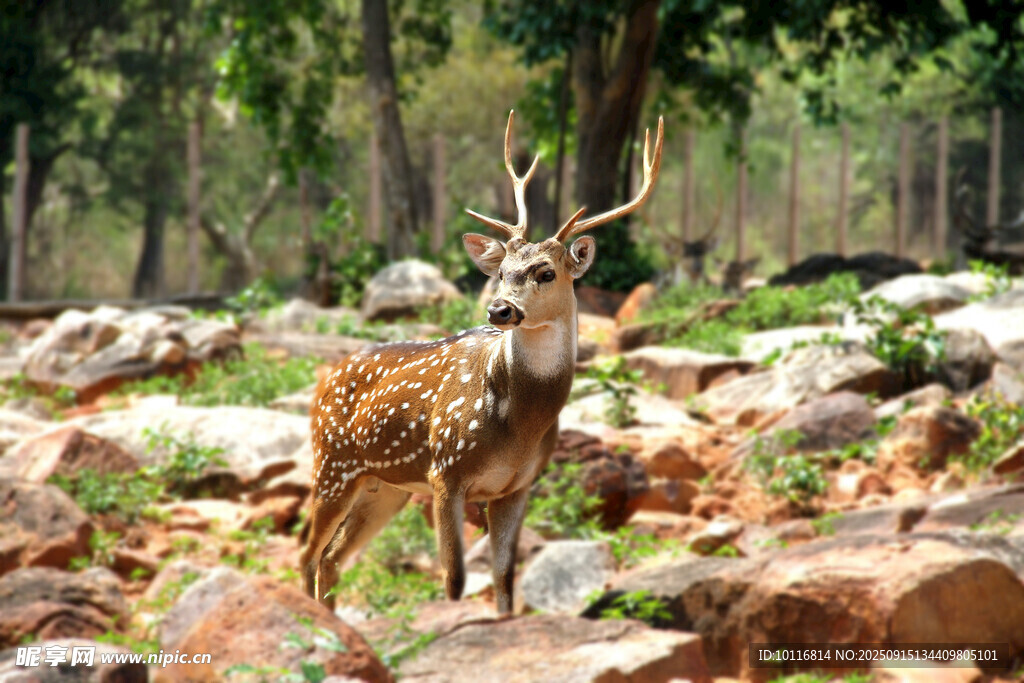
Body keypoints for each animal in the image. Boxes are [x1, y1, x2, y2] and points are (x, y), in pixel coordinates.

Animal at [300, 110, 663, 615]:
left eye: (546, 272)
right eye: (501, 271)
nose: (499, 310)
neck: (516, 425)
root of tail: (324, 379)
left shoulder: (517, 485)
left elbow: (504, 579)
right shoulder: (445, 471)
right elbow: (453, 579)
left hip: (385, 486)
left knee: (332, 559)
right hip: (333, 464)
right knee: (308, 555)